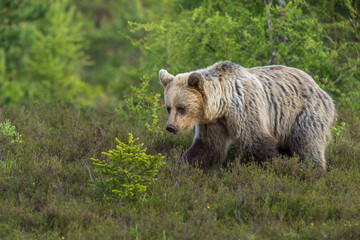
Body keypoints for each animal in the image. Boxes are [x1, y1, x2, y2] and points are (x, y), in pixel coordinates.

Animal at [159, 62, 336, 171]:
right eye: (168, 108)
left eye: (182, 108)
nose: (170, 127)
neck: (222, 105)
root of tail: (321, 89)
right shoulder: (213, 123)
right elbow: (208, 147)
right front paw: (183, 166)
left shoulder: (245, 109)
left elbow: (257, 142)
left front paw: (272, 166)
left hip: (304, 113)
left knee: (307, 144)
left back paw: (312, 171)